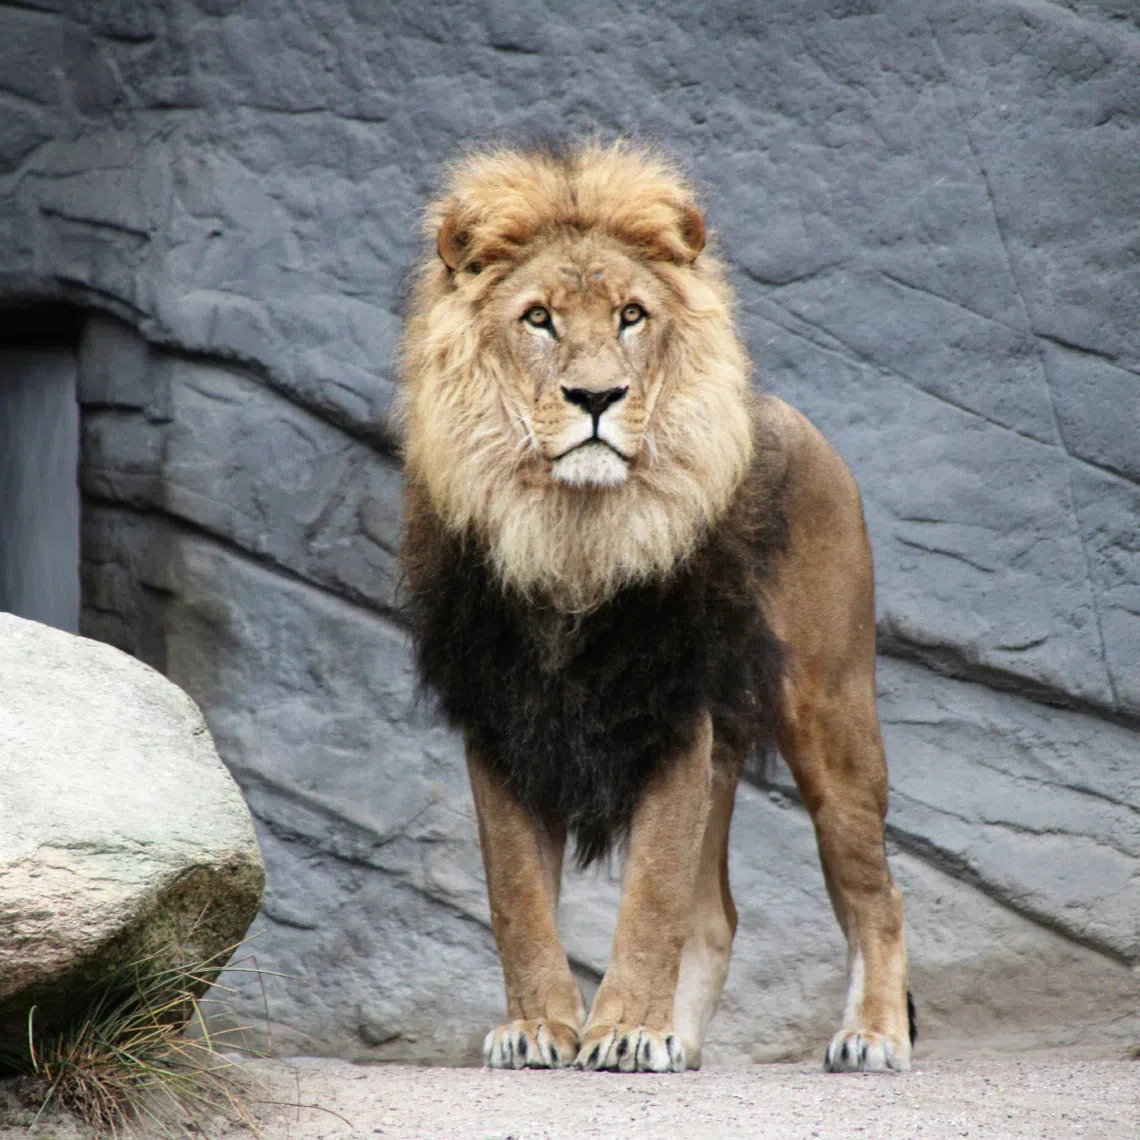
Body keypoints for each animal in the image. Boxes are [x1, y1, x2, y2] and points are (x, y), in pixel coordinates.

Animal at [398, 141, 913, 1073]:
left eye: (631, 315)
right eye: (539, 319)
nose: (597, 398)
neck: (573, 533)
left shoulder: (673, 709)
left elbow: (651, 900)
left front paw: (628, 1029)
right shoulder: (501, 718)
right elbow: (517, 899)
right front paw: (540, 1026)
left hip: (832, 713)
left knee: (877, 893)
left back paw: (871, 1036)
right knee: (718, 918)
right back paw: (686, 1039)